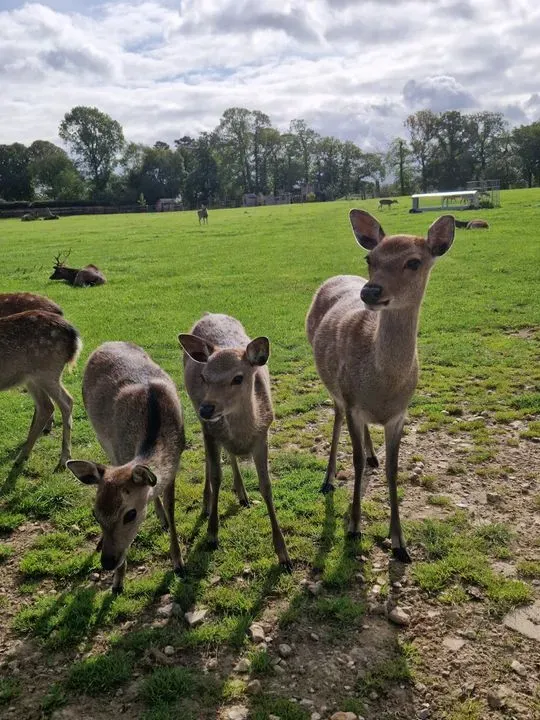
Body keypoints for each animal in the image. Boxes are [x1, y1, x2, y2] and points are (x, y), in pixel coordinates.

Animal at [0, 310, 80, 470]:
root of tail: (74, 336)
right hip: (32, 378)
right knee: (46, 406)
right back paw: (22, 455)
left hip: (47, 371)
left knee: (66, 401)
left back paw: (64, 459)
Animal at [66, 344, 186, 596]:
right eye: (95, 514)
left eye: (130, 514)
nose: (107, 562)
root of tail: (106, 343)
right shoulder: (120, 452)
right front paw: (118, 582)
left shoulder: (174, 467)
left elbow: (171, 508)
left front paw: (179, 563)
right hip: (102, 438)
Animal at [178, 312, 292, 572]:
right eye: (204, 377)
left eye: (238, 378)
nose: (206, 408)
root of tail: (209, 313)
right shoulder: (211, 431)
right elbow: (216, 476)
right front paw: (212, 534)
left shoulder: (263, 435)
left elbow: (266, 486)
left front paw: (284, 554)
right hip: (203, 424)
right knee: (210, 460)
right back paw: (207, 502)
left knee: (229, 454)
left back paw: (242, 494)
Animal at [306, 208, 454, 564]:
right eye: (369, 258)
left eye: (414, 261)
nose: (370, 292)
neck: (383, 387)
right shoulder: (352, 401)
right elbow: (356, 462)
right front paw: (353, 527)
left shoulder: (400, 414)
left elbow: (392, 469)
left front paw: (400, 543)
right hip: (332, 385)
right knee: (336, 417)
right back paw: (328, 479)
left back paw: (371, 456)